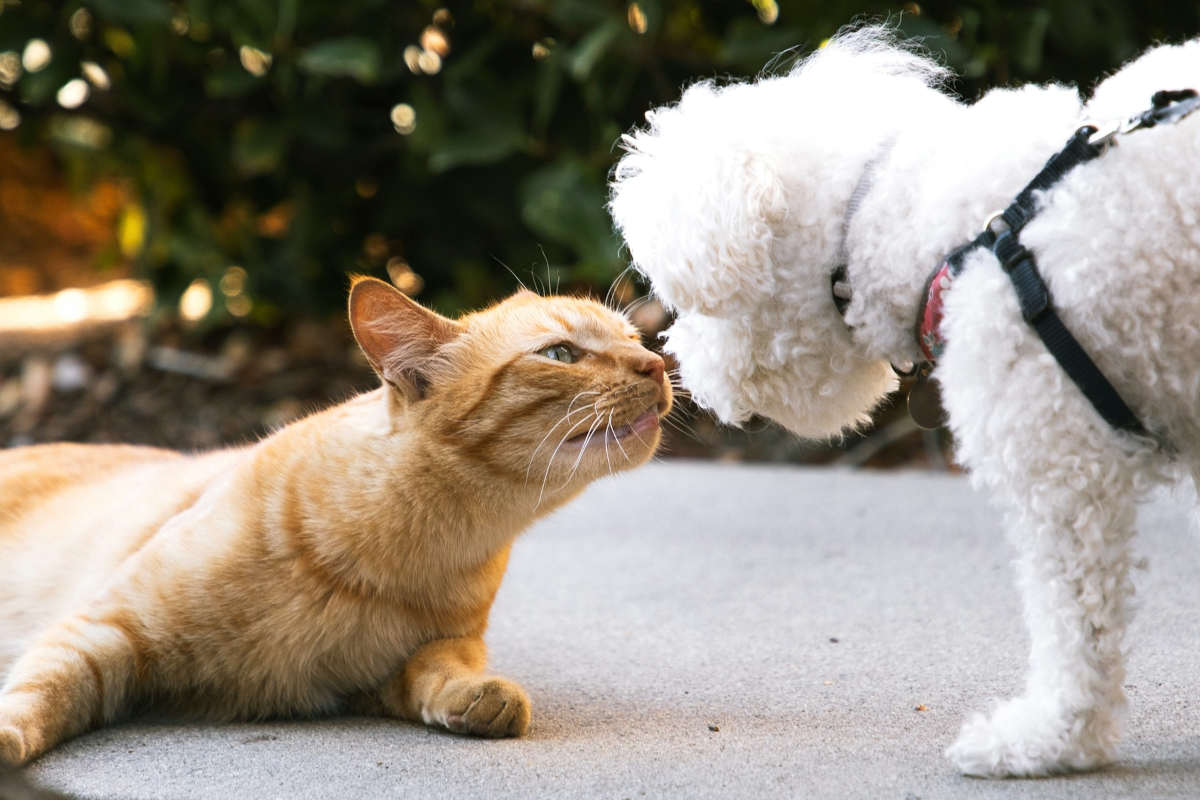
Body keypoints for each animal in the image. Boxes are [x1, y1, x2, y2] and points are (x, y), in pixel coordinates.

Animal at [0, 278, 672, 767]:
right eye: (560, 353)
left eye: (634, 336)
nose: (656, 363)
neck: (406, 551)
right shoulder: (102, 631)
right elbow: (38, 694)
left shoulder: (409, 661)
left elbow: (439, 672)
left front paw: (479, 699)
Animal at [614, 28, 1195, 777]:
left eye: (690, 300)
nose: (673, 362)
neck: (952, 229)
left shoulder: (1060, 469)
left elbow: (1075, 623)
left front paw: (1048, 739)